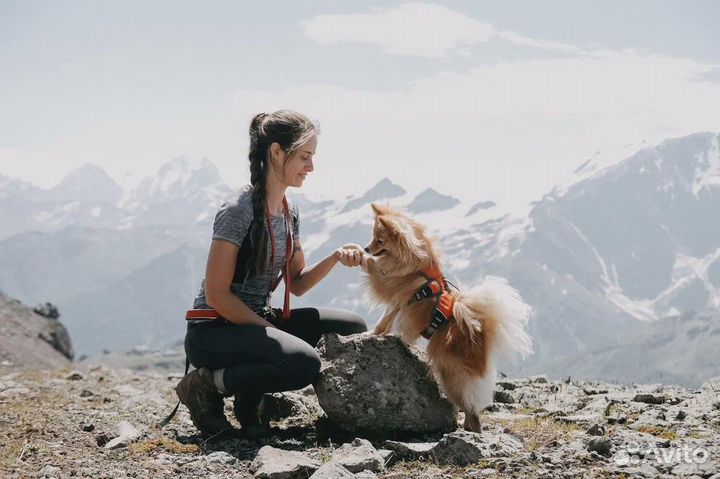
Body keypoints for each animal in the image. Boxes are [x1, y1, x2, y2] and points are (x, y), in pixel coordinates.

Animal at [362, 204, 532, 434]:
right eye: (373, 237)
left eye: (379, 241)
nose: (365, 248)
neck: (415, 261)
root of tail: (481, 337)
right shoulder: (398, 304)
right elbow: (385, 321)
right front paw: (373, 332)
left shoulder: (390, 287)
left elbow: (375, 272)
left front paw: (360, 258)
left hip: (450, 378)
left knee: (472, 411)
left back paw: (468, 430)